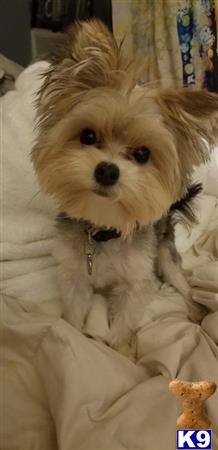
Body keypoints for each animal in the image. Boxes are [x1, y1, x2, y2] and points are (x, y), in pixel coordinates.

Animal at [31, 19, 218, 356]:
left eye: (143, 154)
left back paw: (196, 309)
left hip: (165, 255)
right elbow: (74, 317)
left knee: (181, 280)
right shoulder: (75, 278)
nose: (107, 170)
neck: (102, 230)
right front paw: (74, 339)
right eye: (88, 136)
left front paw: (119, 351)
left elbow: (123, 322)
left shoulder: (135, 284)